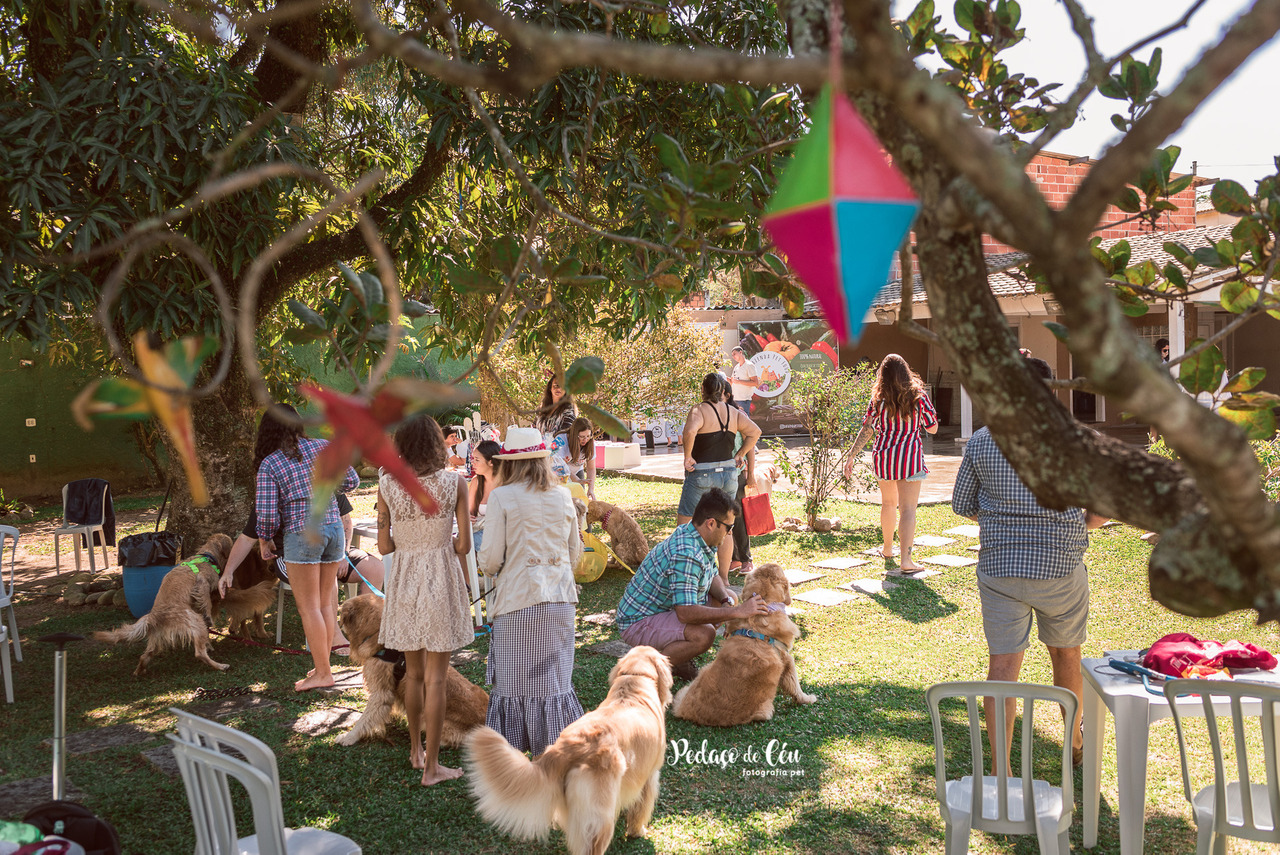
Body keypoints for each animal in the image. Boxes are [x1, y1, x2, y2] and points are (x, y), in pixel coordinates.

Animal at [93, 535, 279, 675]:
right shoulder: (202, 583)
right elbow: (206, 602)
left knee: (144, 656)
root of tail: (154, 617)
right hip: (194, 621)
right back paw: (220, 665)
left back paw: (139, 671)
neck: (206, 556)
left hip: (156, 641)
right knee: (199, 653)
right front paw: (210, 616)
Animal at [465, 645, 675, 855]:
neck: (635, 678)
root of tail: (567, 748)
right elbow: (641, 808)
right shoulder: (649, 775)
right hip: (601, 814)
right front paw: (637, 831)